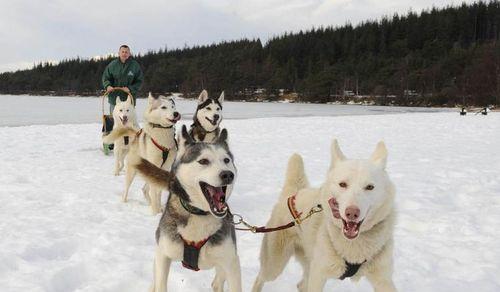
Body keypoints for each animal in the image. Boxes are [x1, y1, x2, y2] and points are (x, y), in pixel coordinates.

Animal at [133, 125, 242, 292]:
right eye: (203, 161)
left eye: (226, 160)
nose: (228, 175)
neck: (199, 214)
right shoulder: (163, 255)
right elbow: (160, 283)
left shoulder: (231, 263)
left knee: (217, 283)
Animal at [252, 139, 396, 292]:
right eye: (342, 184)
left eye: (370, 187)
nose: (352, 212)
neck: (353, 248)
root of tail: (294, 193)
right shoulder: (318, 275)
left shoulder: (383, 280)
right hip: (274, 266)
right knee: (260, 278)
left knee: (301, 284)